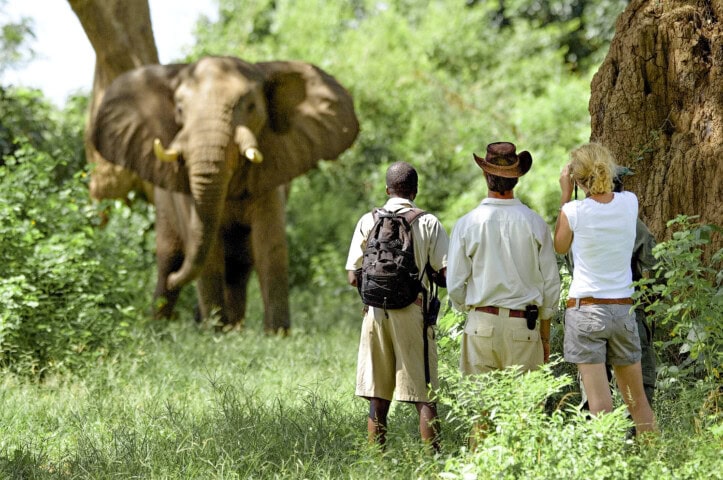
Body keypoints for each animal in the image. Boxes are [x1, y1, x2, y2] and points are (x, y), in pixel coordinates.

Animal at [90, 56, 359, 333]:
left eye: (251, 107)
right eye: (179, 110)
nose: (178, 280)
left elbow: (270, 246)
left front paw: (276, 334)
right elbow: (209, 255)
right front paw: (215, 333)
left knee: (239, 267)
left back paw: (233, 327)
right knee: (168, 260)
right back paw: (163, 326)